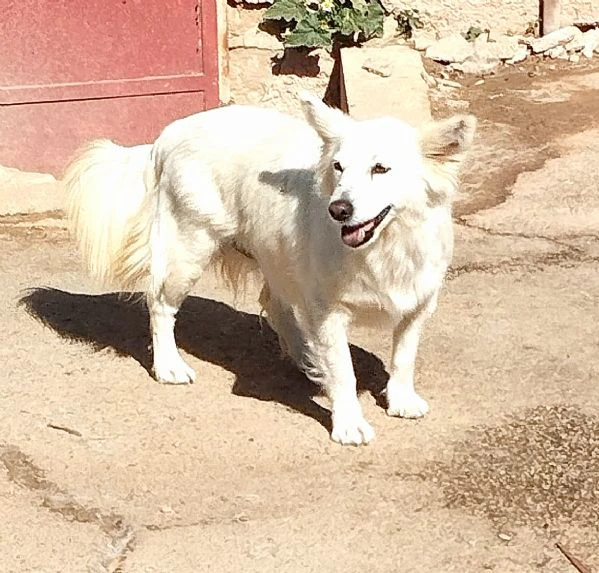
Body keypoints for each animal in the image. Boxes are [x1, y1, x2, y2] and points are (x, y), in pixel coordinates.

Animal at [64, 94, 478, 444]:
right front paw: (349, 423)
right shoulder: (330, 312)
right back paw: (168, 365)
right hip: (189, 248)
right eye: (338, 167)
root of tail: (168, 134)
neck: (386, 245)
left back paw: (305, 356)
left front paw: (401, 400)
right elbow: (344, 371)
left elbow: (404, 356)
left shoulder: (417, 304)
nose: (338, 209)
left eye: (381, 169)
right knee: (160, 303)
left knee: (275, 302)